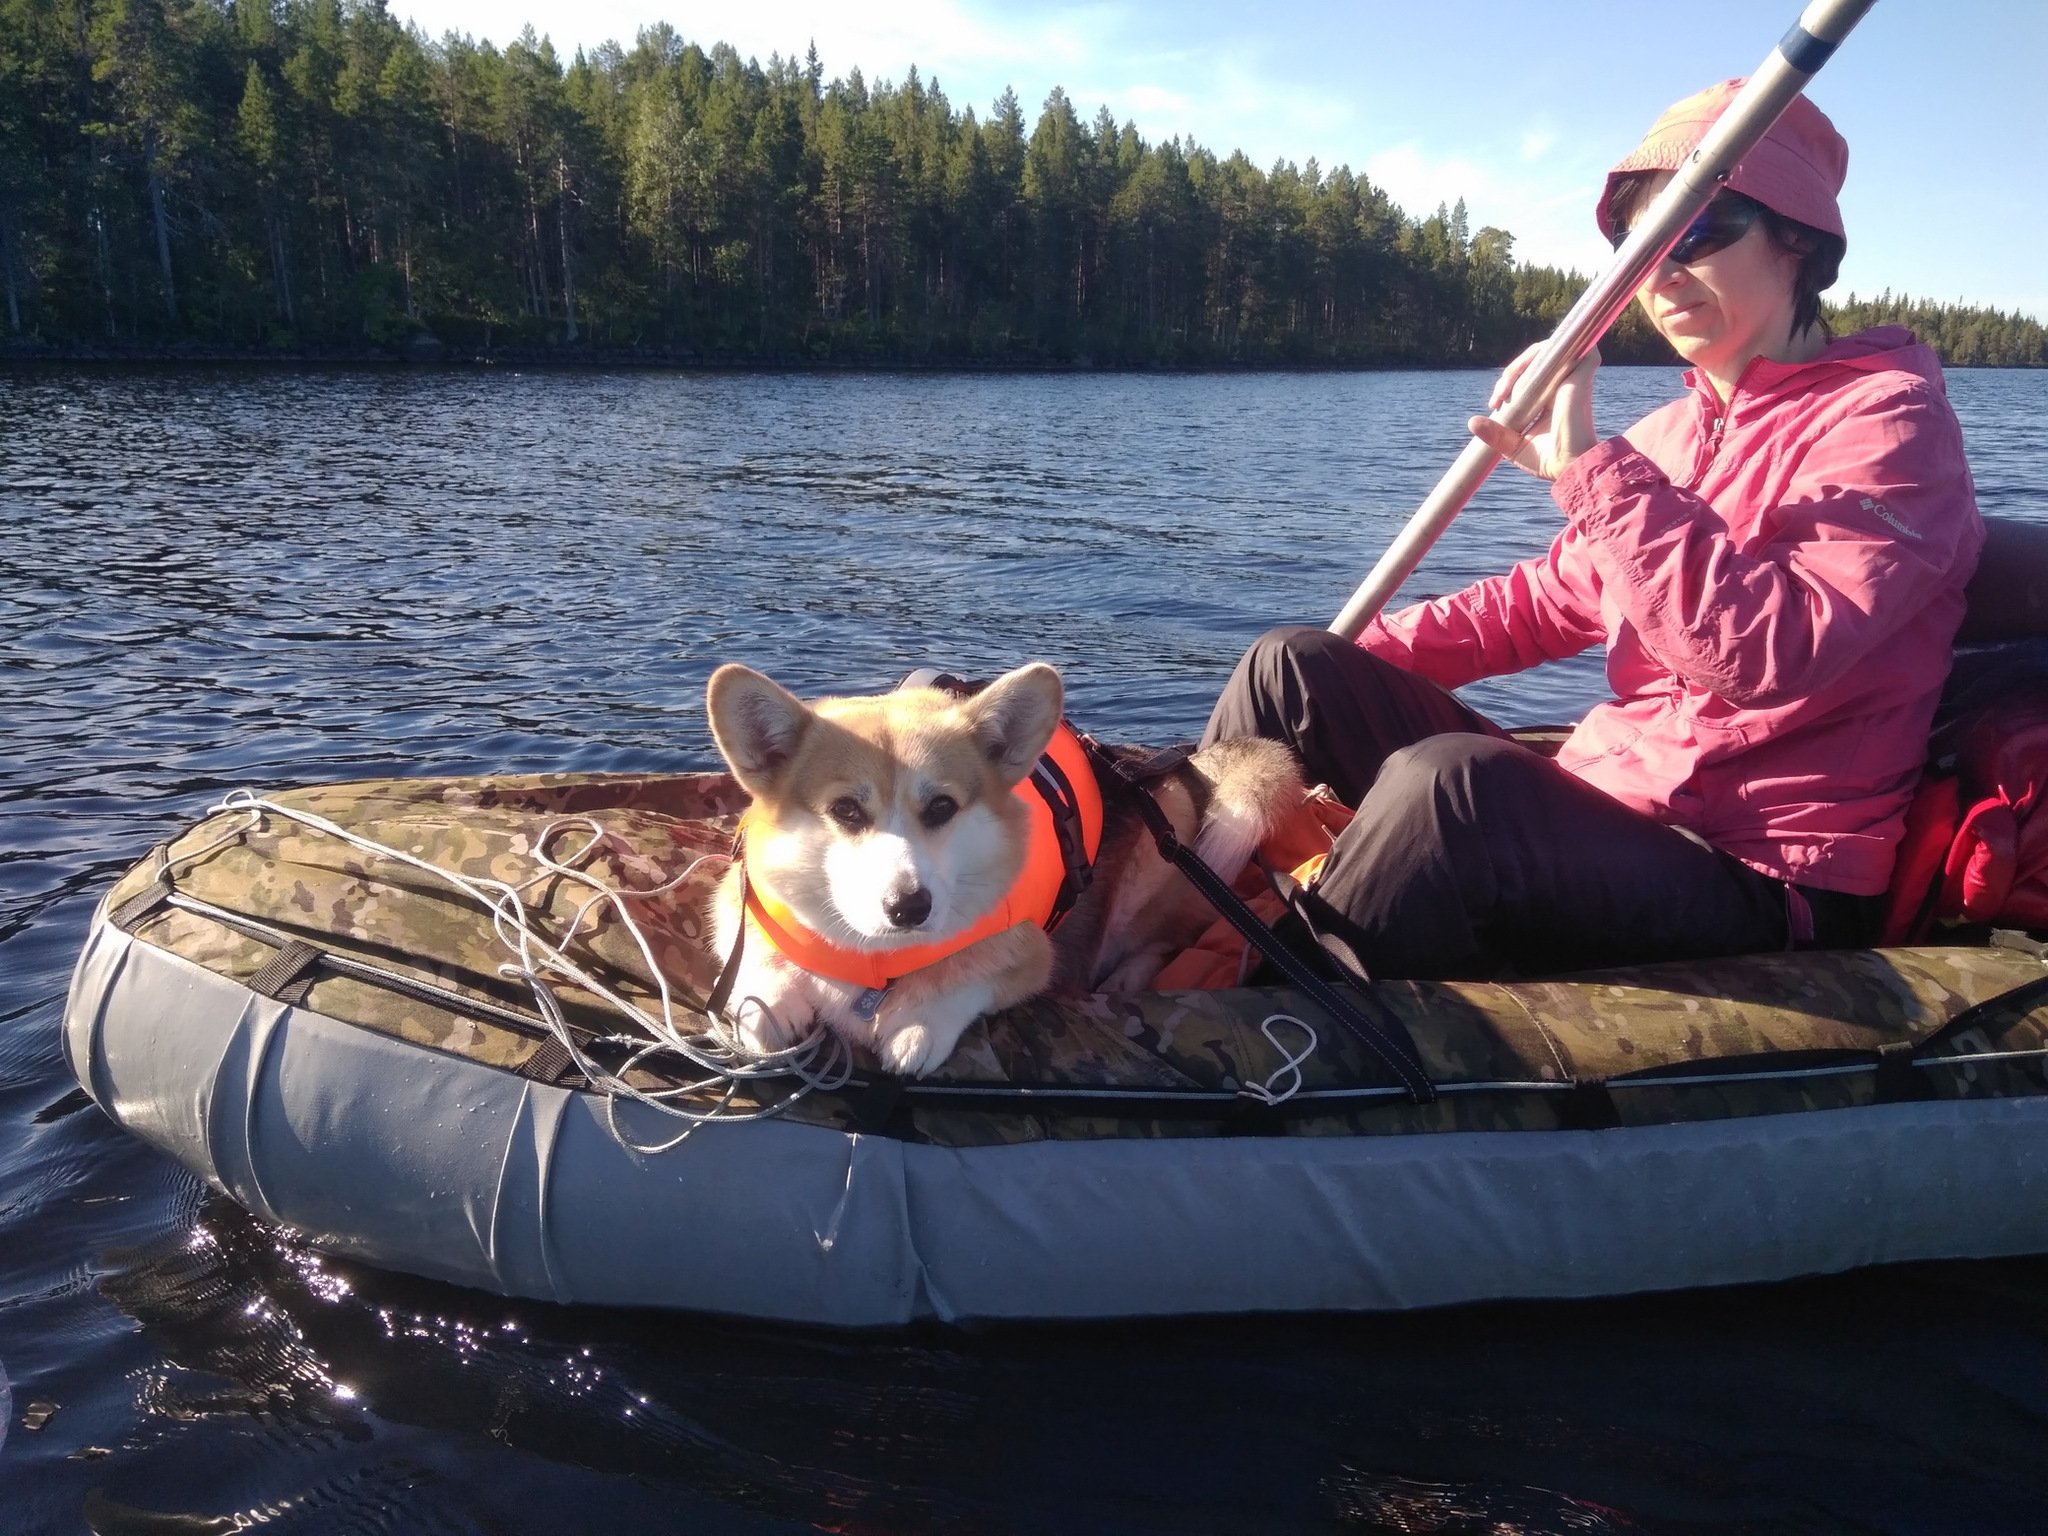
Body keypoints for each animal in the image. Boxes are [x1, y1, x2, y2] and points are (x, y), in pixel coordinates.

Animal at [704, 663, 1294, 1081]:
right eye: (847, 810)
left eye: (942, 807)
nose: (909, 909)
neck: (877, 955)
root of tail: (1180, 766)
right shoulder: (736, 900)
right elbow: (752, 958)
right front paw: (766, 1002)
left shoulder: (1032, 957)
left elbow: (970, 977)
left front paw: (918, 1024)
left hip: (1158, 847)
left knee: (1164, 937)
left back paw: (1127, 975)